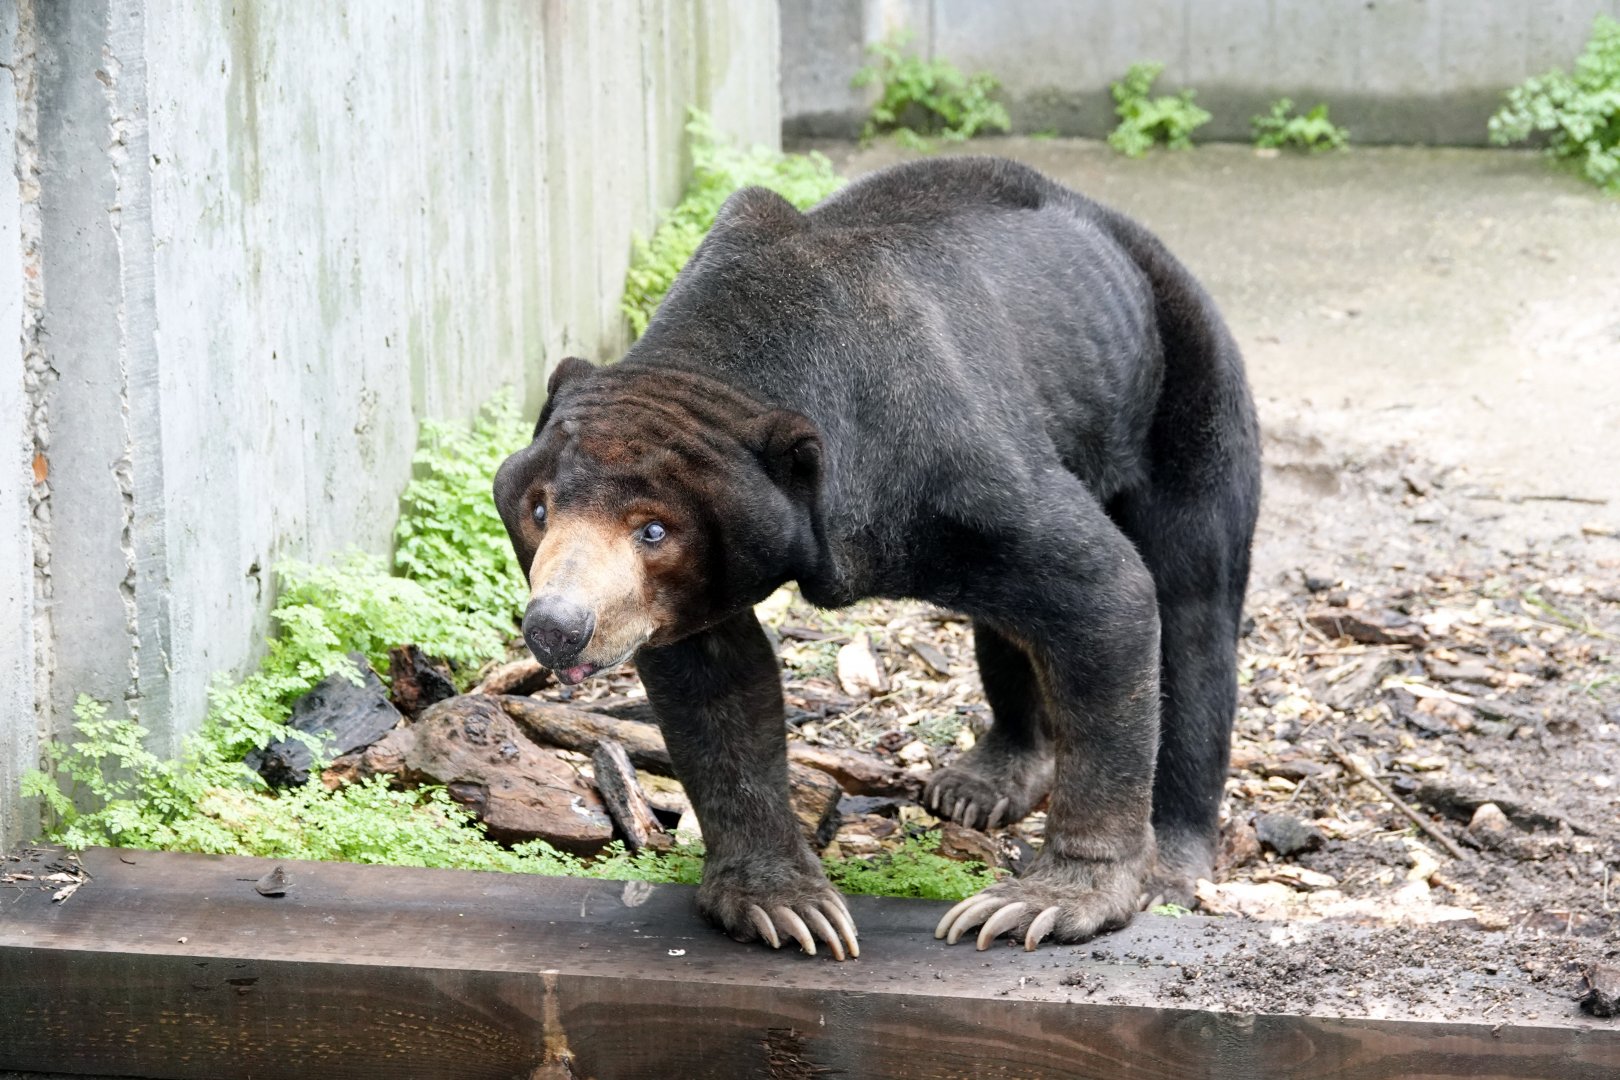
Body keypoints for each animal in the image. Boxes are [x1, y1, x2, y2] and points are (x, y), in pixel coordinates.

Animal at [494, 156, 1260, 960]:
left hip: (1186, 382)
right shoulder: (693, 588)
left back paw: (1172, 861)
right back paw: (985, 781)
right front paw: (785, 906)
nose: (558, 627)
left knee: (1193, 606)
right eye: (539, 508)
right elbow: (717, 685)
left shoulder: (943, 457)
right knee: (1009, 625)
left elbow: (1102, 589)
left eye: (652, 531)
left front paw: (1043, 904)